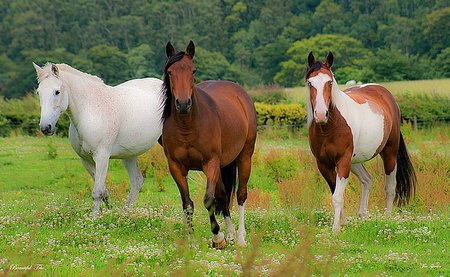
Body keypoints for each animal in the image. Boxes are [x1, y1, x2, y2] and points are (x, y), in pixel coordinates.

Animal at [33, 62, 163, 213]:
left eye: (57, 92)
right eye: (38, 92)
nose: (46, 127)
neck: (89, 110)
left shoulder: (102, 157)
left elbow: (97, 192)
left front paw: (94, 218)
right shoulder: (86, 159)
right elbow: (103, 191)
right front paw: (107, 212)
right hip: (129, 155)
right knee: (137, 181)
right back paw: (126, 213)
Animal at [161, 41, 256, 248]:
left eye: (193, 71)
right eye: (170, 72)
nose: (183, 104)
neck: (187, 127)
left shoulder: (210, 163)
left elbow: (208, 200)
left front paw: (217, 237)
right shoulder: (176, 167)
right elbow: (188, 204)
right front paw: (192, 240)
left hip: (244, 157)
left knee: (241, 195)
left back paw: (240, 238)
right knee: (223, 195)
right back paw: (230, 234)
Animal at [304, 52, 416, 233]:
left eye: (329, 82)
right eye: (310, 83)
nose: (321, 114)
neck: (330, 127)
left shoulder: (343, 161)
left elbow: (337, 196)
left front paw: (335, 229)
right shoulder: (324, 164)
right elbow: (335, 192)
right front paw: (343, 222)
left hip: (389, 153)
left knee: (390, 187)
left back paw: (388, 217)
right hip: (355, 161)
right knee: (367, 179)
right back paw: (362, 214)